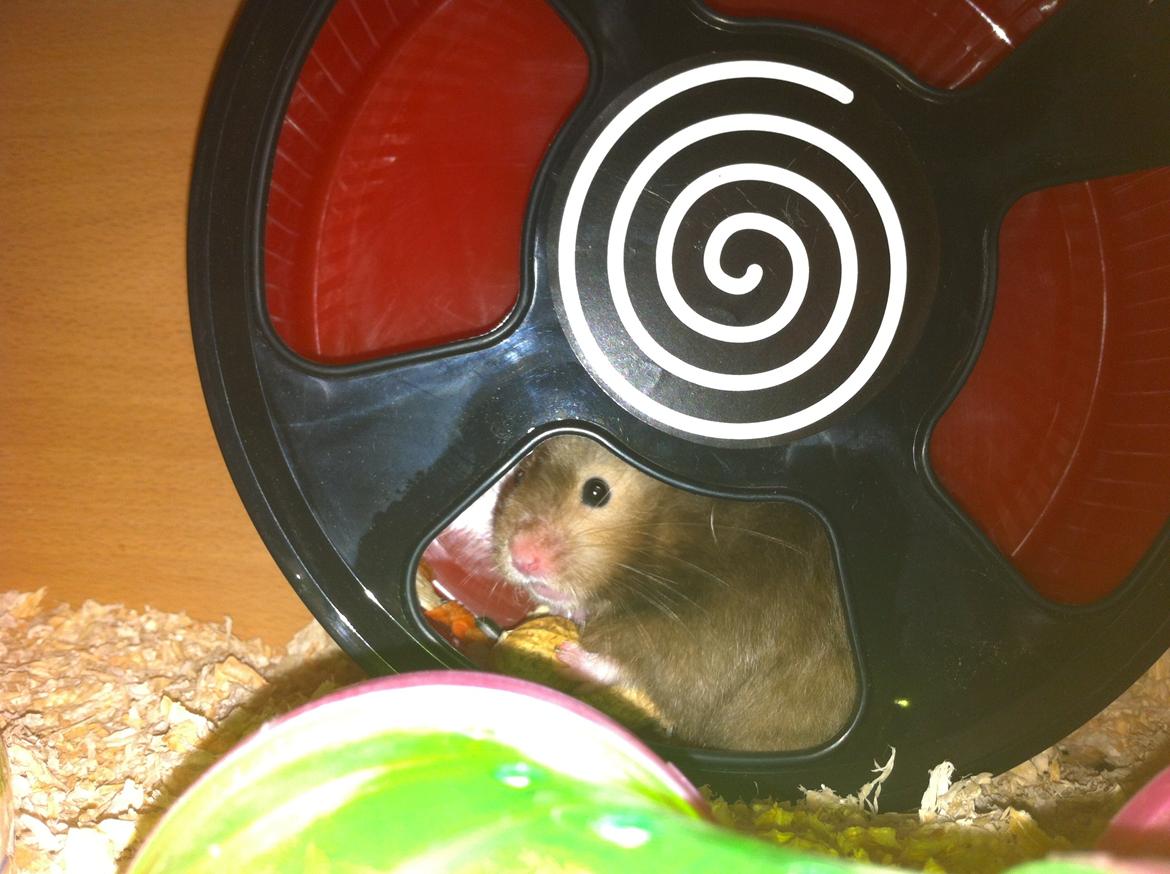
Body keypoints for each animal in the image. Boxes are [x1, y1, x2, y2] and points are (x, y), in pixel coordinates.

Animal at [491, 434, 858, 752]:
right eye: (519, 476)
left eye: (596, 491)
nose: (521, 557)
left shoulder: (704, 637)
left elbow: (640, 666)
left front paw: (567, 655)